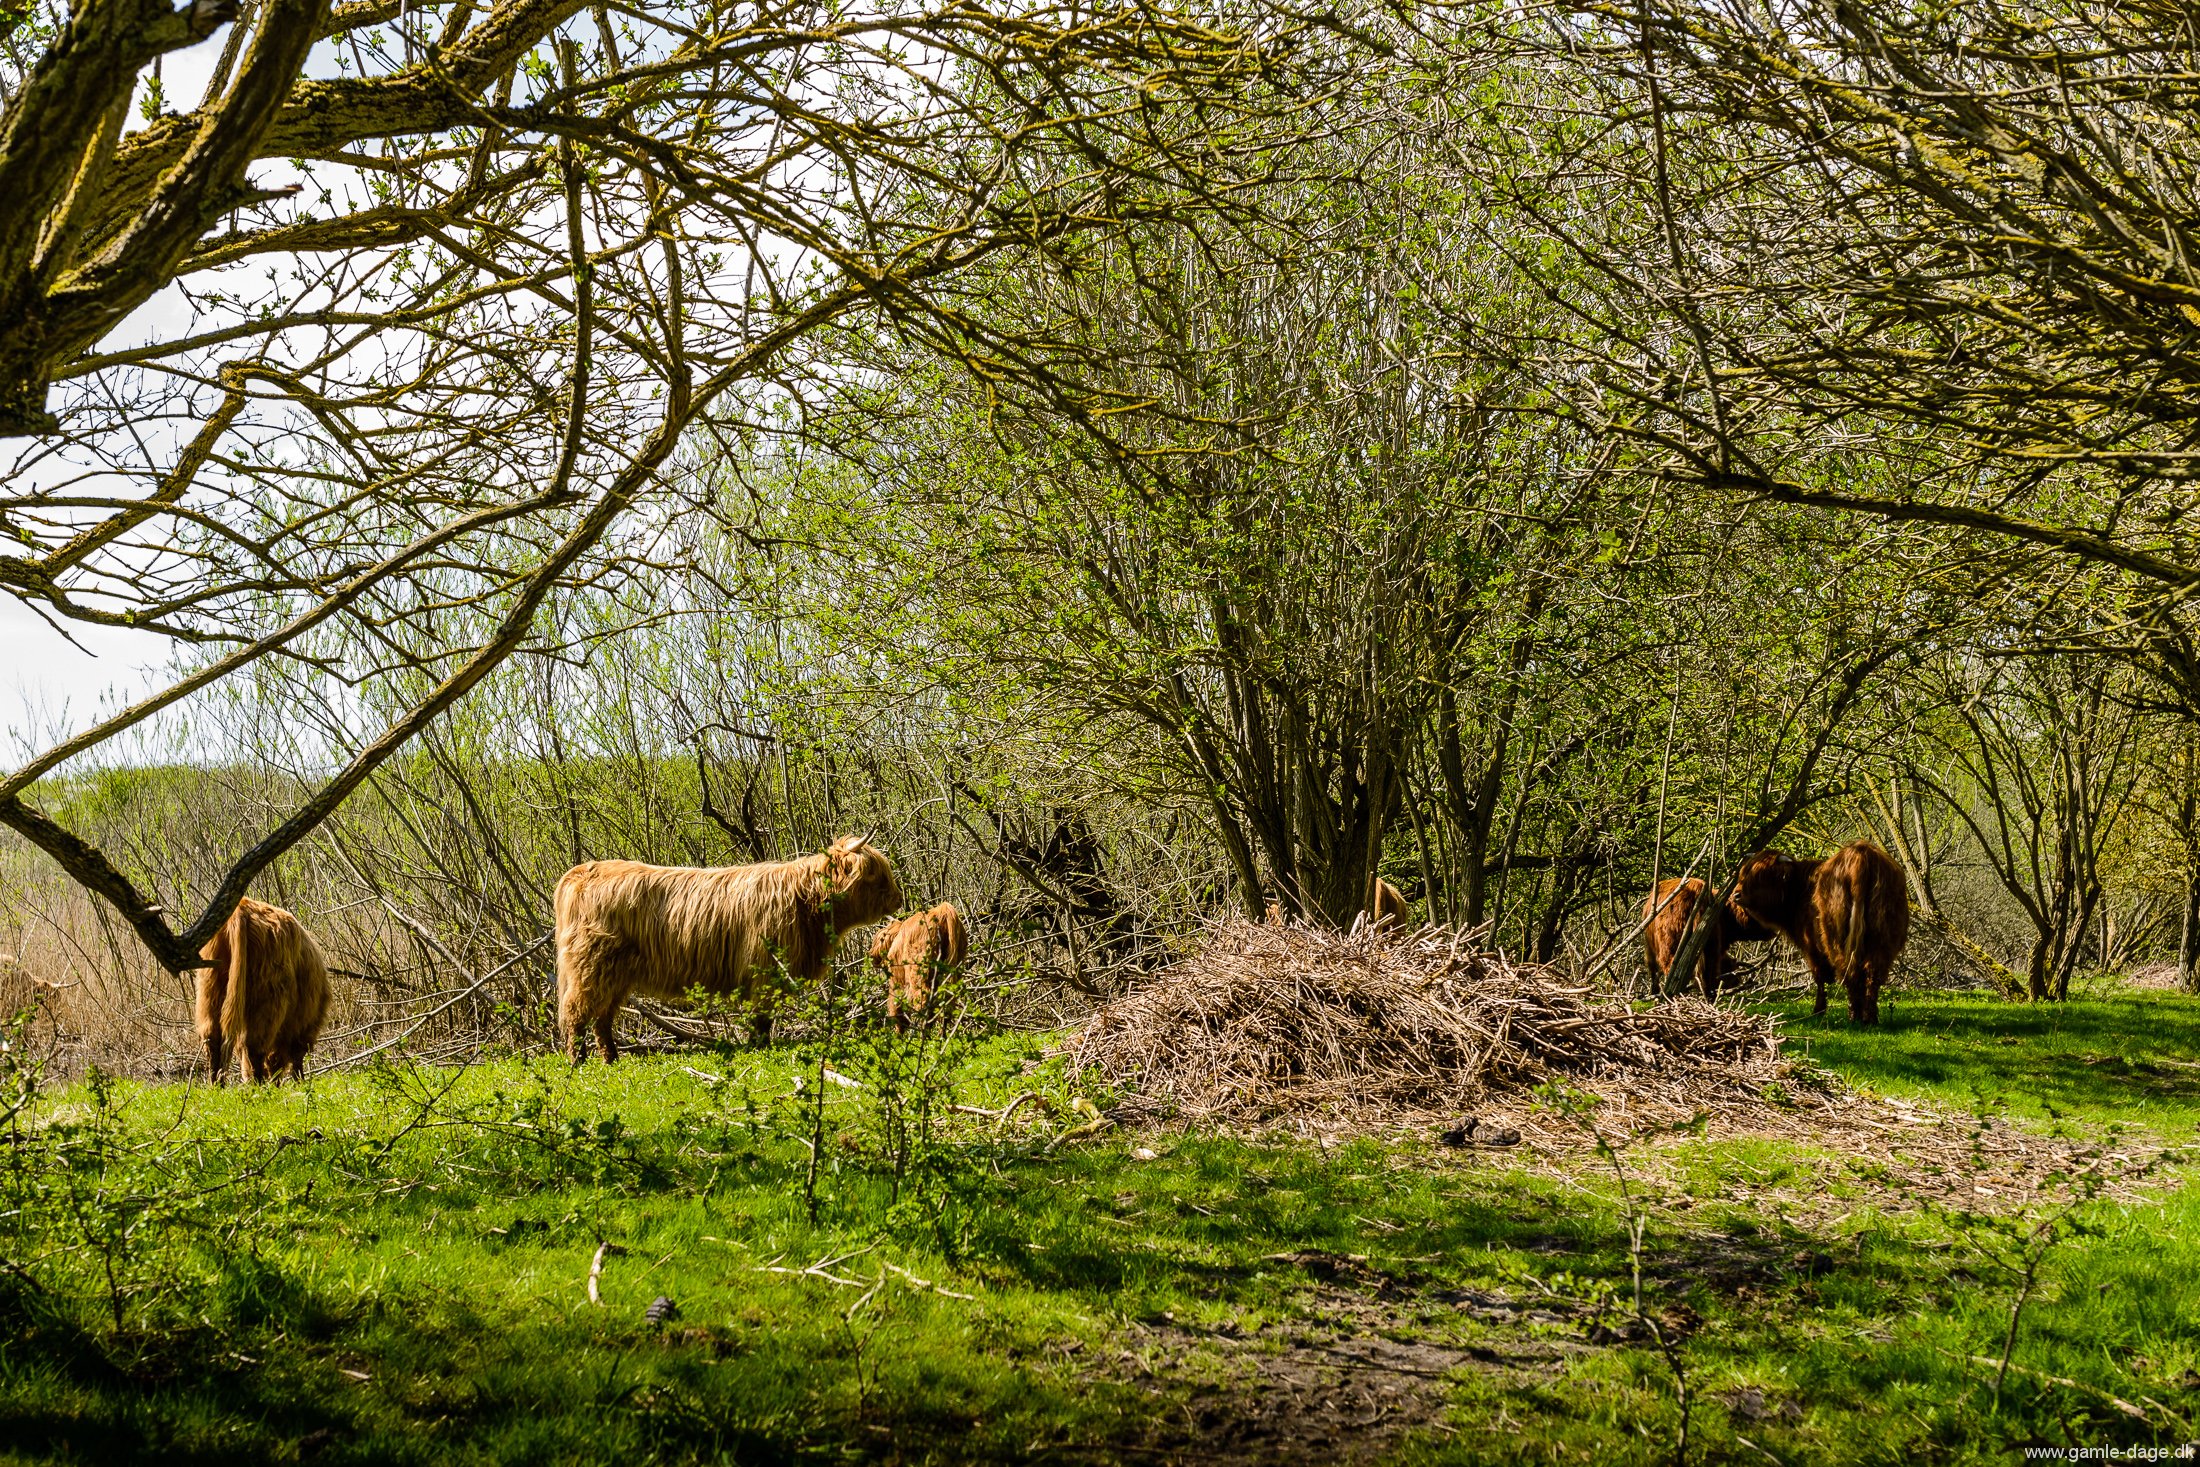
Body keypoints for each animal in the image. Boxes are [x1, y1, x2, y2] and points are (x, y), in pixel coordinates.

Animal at [194, 897, 330, 1090]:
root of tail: (241, 908)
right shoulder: (302, 1021)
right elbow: (294, 1057)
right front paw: (299, 1083)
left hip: (210, 988)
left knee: (213, 1039)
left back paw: (217, 1086)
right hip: (268, 995)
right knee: (254, 1046)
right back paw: (260, 1087)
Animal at [558, 835, 902, 1068]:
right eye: (875, 875)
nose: (898, 900)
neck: (806, 900)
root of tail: (583, 871)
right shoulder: (765, 969)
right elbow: (762, 1016)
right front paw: (760, 1046)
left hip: (615, 974)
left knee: (603, 1017)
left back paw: (610, 1059)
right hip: (591, 967)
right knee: (576, 1011)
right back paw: (578, 1060)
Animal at [1733, 844, 1909, 1029]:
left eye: (1761, 875)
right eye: (1745, 873)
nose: (1736, 894)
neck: (1800, 891)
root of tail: (1861, 852)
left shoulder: (1811, 947)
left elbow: (1819, 978)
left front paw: (1818, 1010)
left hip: (1837, 940)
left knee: (1850, 973)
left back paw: (1854, 1016)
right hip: (1882, 939)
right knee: (1871, 975)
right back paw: (1870, 1018)